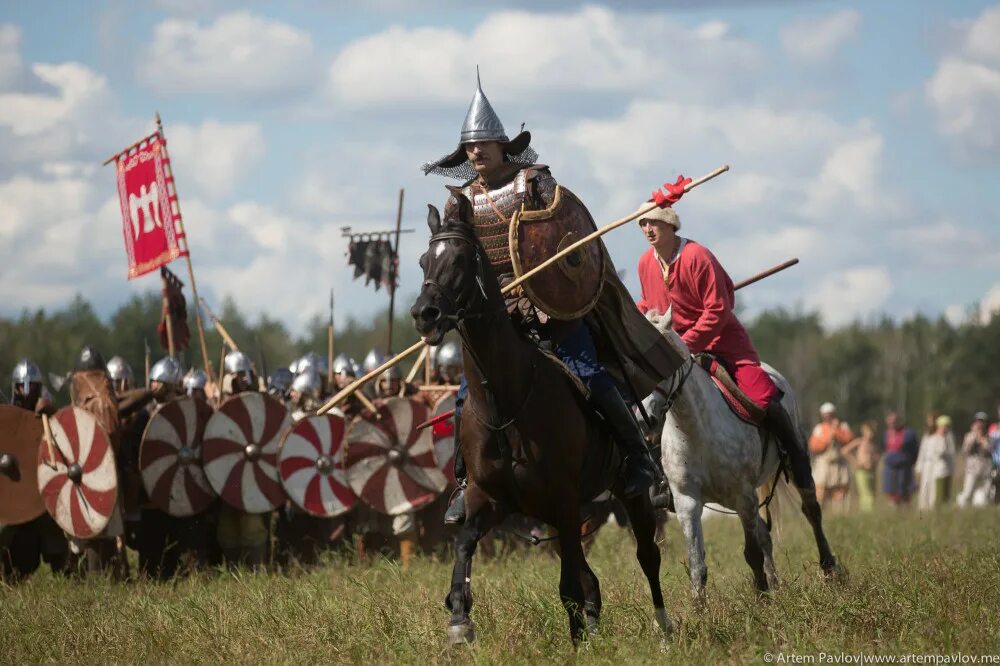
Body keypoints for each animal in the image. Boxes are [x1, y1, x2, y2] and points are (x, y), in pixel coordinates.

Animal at [410, 197, 668, 644]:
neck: (507, 401)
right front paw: (459, 618)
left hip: (628, 496)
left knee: (645, 556)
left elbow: (569, 586)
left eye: (459, 260)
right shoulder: (489, 499)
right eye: (425, 260)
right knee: (590, 576)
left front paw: (578, 640)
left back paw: (663, 627)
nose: (424, 314)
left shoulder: (563, 499)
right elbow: (463, 546)